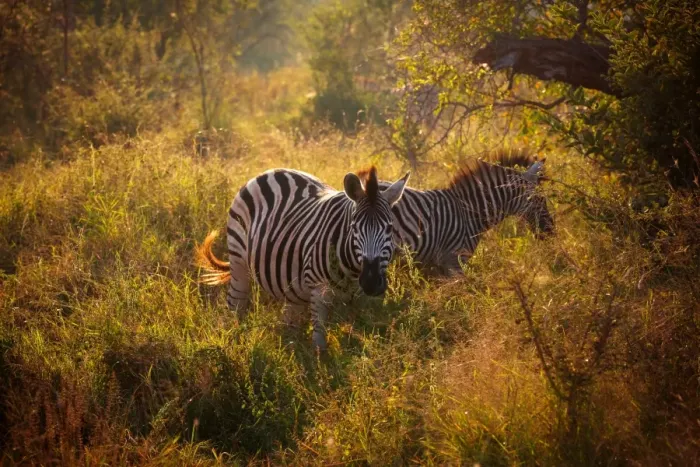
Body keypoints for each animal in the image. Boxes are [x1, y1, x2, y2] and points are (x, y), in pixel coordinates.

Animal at [196, 167, 410, 350]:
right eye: (354, 228)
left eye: (389, 228)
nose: (371, 282)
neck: (352, 270)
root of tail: (270, 171)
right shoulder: (318, 291)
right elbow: (320, 345)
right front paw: (320, 369)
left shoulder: (363, 300)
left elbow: (361, 344)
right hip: (239, 261)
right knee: (236, 307)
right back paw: (234, 347)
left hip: (292, 286)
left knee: (289, 323)